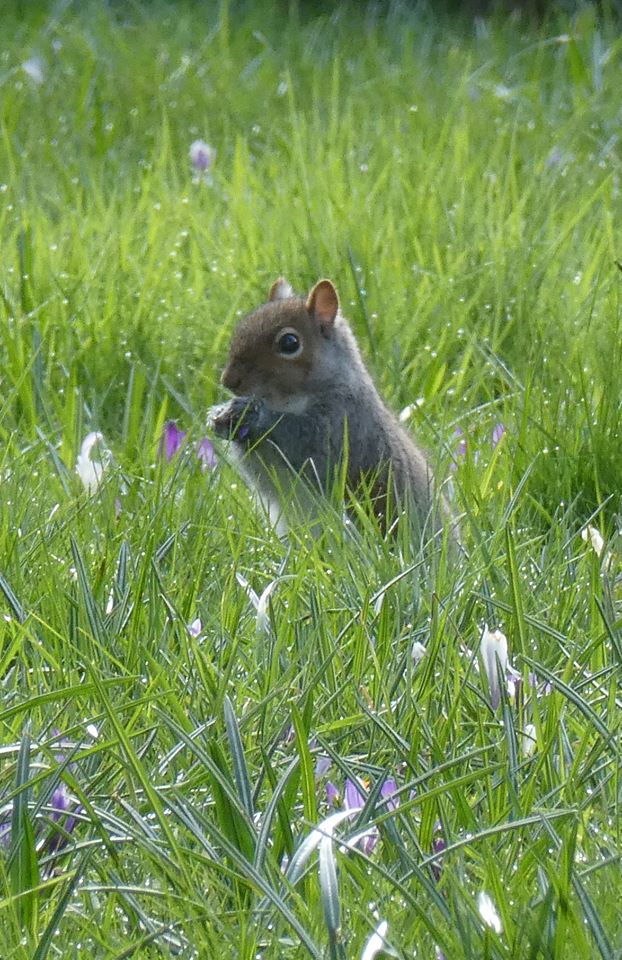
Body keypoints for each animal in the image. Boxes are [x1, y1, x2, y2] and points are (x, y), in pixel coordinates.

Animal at [208, 277, 452, 540]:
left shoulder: (342, 424)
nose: (229, 380)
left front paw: (254, 416)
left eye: (289, 343)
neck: (288, 400)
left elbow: (302, 444)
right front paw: (220, 416)